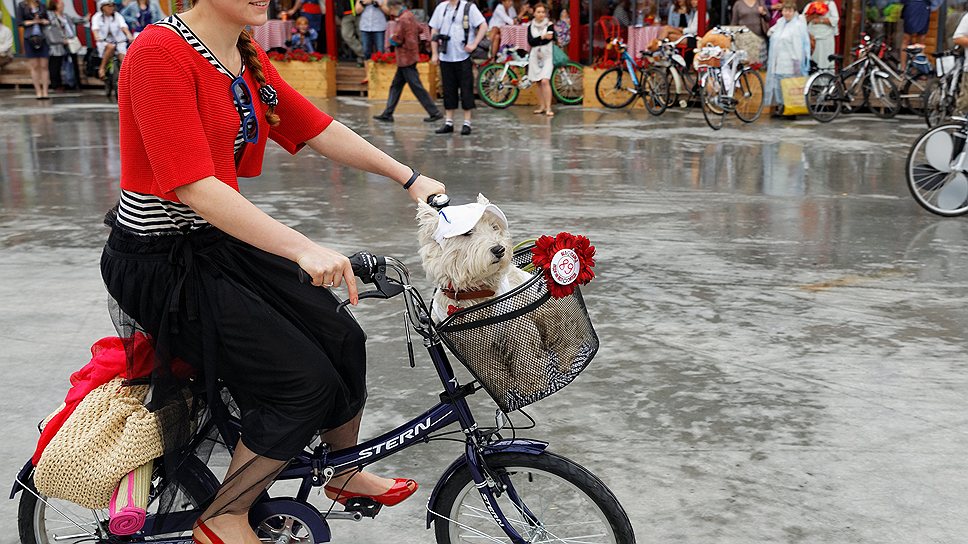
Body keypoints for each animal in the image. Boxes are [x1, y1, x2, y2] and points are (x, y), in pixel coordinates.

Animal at [414, 194, 580, 404]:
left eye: (494, 227)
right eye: (467, 232)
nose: (499, 249)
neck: (475, 292)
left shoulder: (518, 326)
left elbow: (525, 356)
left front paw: (532, 386)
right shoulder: (472, 344)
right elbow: (490, 369)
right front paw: (504, 387)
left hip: (551, 313)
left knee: (567, 337)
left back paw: (567, 358)